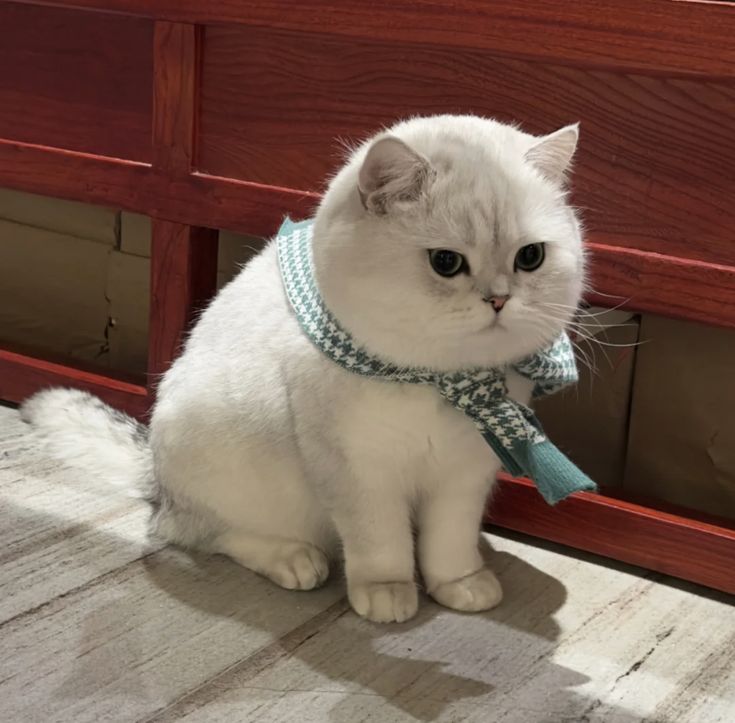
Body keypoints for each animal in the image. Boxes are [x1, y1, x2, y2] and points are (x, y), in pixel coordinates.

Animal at [23, 113, 584, 624]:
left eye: (530, 257)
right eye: (446, 262)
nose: (499, 299)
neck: (443, 379)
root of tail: (156, 477)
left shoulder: (464, 475)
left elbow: (450, 541)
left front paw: (461, 582)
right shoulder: (358, 474)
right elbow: (380, 542)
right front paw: (387, 592)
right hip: (216, 459)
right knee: (198, 531)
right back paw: (292, 559)